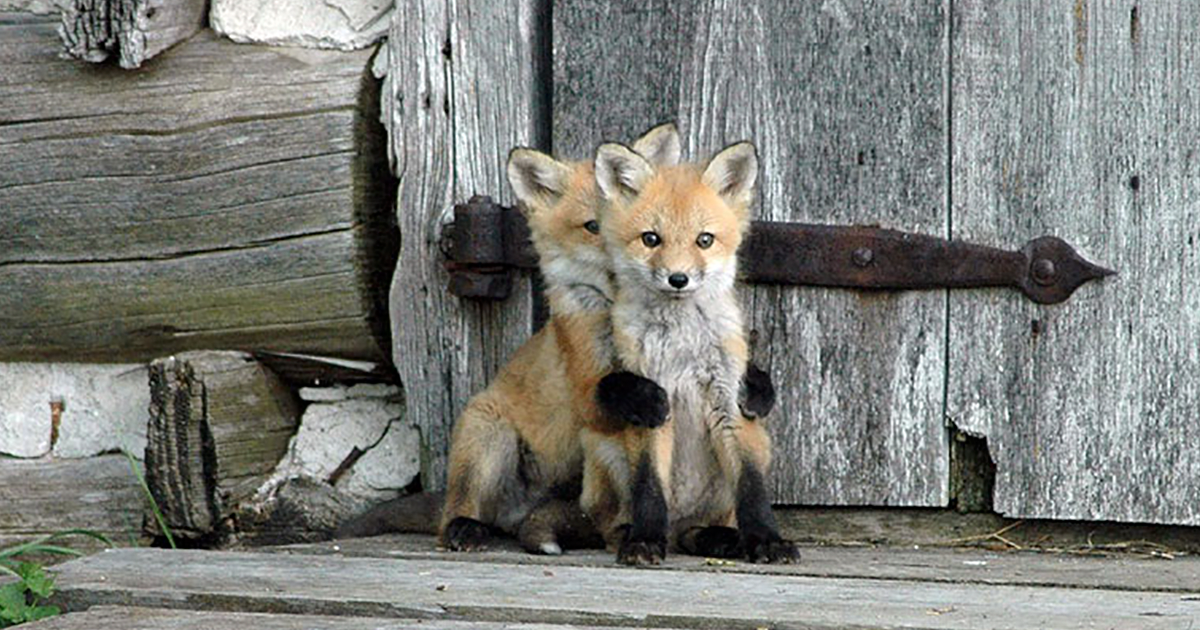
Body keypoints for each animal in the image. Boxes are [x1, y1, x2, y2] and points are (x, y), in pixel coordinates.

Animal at [583, 140, 799, 565]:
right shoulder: (653, 406)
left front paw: (766, 539)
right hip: (604, 449)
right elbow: (650, 487)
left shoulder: (729, 401)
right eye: (651, 239)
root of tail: (681, 523)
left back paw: (720, 539)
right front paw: (645, 540)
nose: (678, 278)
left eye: (704, 240)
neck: (682, 344)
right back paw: (639, 533)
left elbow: (751, 488)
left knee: (699, 529)